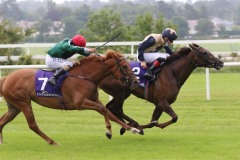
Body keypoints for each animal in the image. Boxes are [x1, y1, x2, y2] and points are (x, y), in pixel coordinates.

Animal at [0, 49, 141, 145]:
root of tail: (7, 78)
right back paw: (53, 142)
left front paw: (132, 128)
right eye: (124, 66)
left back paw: (1, 141)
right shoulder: (80, 103)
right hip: (23, 103)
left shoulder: (94, 99)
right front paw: (109, 132)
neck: (85, 76)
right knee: (32, 125)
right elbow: (103, 109)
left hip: (14, 107)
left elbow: (109, 113)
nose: (135, 82)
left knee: (2, 121)